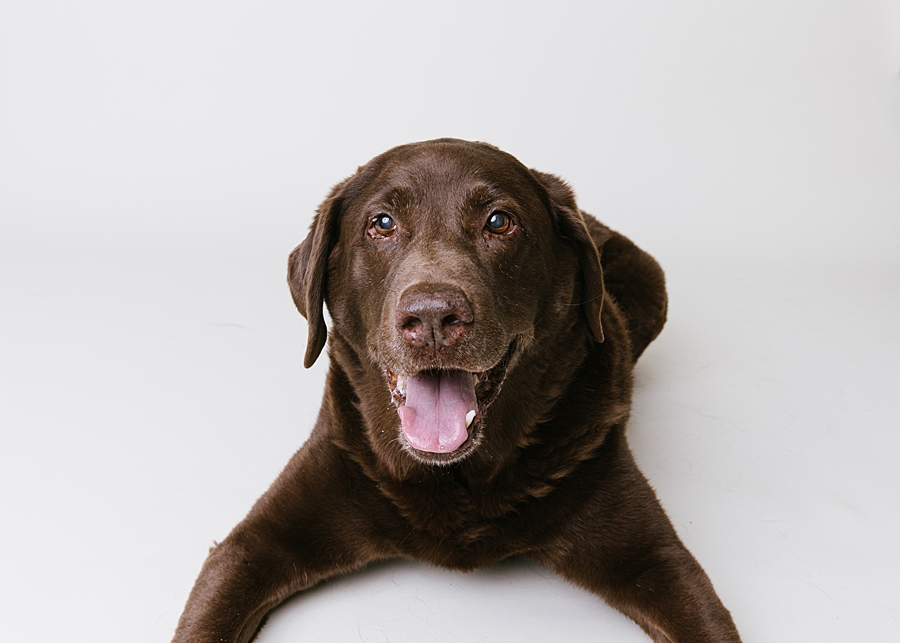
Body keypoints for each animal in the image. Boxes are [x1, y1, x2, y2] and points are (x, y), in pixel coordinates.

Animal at [172, 141, 740, 643]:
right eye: (381, 224)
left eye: (499, 222)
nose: (432, 316)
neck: (458, 479)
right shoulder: (253, 545)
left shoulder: (655, 560)